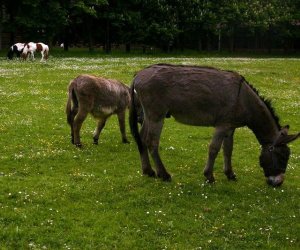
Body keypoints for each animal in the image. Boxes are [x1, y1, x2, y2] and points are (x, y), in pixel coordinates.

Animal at [129, 63, 300, 187]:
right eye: (282, 157)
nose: (278, 183)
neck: (244, 99)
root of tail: (138, 74)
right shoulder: (222, 125)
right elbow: (214, 149)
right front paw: (209, 176)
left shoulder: (230, 127)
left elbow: (228, 150)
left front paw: (230, 174)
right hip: (157, 115)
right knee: (152, 142)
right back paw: (164, 174)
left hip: (149, 115)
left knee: (142, 138)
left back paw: (148, 171)